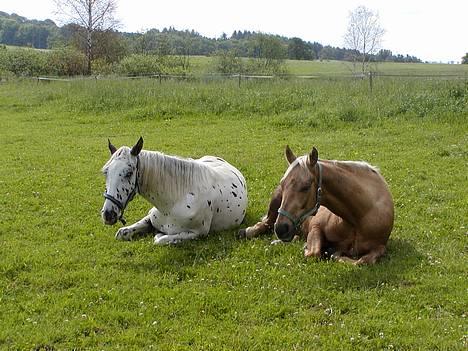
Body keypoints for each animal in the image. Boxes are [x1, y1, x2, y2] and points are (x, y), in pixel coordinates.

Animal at [100, 138, 249, 245]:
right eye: (106, 172)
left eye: (129, 173)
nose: (108, 214)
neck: (174, 202)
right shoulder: (150, 218)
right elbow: (122, 233)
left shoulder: (197, 233)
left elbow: (160, 239)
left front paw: (159, 234)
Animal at [238, 145, 394, 264]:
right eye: (282, 183)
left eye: (306, 186)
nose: (281, 228)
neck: (360, 217)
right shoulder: (316, 226)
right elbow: (314, 253)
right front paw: (312, 248)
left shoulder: (380, 246)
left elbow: (363, 261)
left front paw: (334, 253)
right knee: (266, 223)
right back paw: (249, 231)